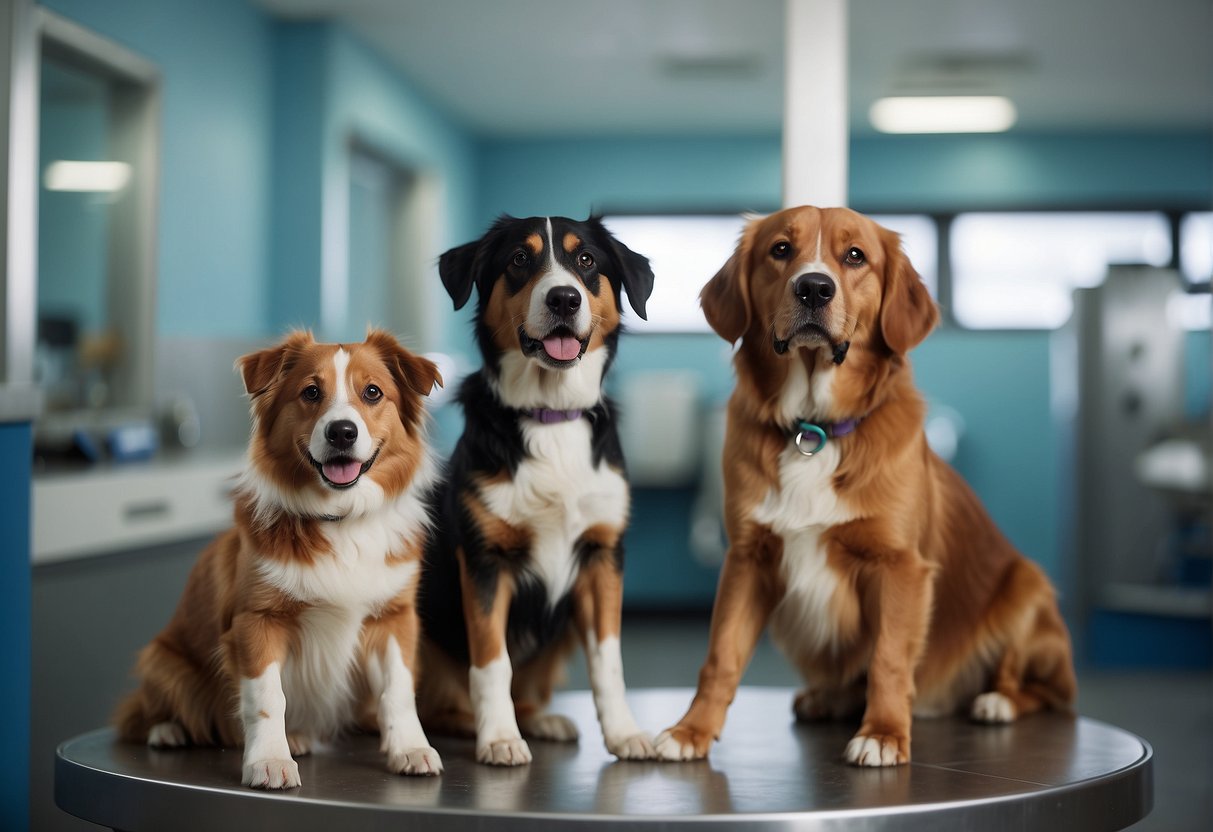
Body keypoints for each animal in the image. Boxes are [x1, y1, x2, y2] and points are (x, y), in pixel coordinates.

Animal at [114, 327, 443, 790]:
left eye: (373, 392)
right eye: (311, 392)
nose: (342, 432)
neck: (341, 518)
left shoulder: (394, 618)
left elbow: (398, 689)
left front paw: (410, 748)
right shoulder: (257, 620)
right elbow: (268, 697)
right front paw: (269, 760)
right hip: (162, 659)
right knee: (139, 715)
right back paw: (169, 731)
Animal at [422, 217, 659, 771]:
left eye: (587, 260)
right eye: (519, 260)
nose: (564, 299)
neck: (551, 415)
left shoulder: (602, 557)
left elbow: (608, 662)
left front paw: (623, 733)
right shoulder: (485, 561)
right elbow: (492, 662)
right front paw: (498, 738)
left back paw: (541, 720)